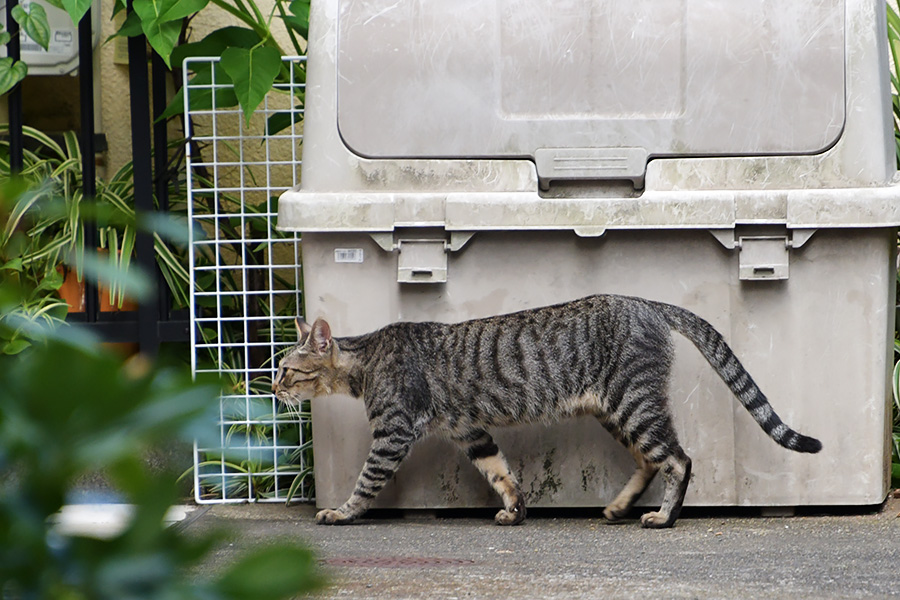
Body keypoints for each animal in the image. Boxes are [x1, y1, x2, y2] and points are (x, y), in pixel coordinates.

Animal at [274, 296, 824, 528]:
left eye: (285, 370)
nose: (272, 388)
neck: (365, 360)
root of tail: (648, 301)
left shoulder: (392, 434)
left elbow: (366, 482)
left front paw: (342, 512)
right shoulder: (469, 430)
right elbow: (501, 472)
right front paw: (515, 510)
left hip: (633, 402)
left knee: (679, 459)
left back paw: (663, 518)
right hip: (618, 411)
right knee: (650, 460)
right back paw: (619, 507)